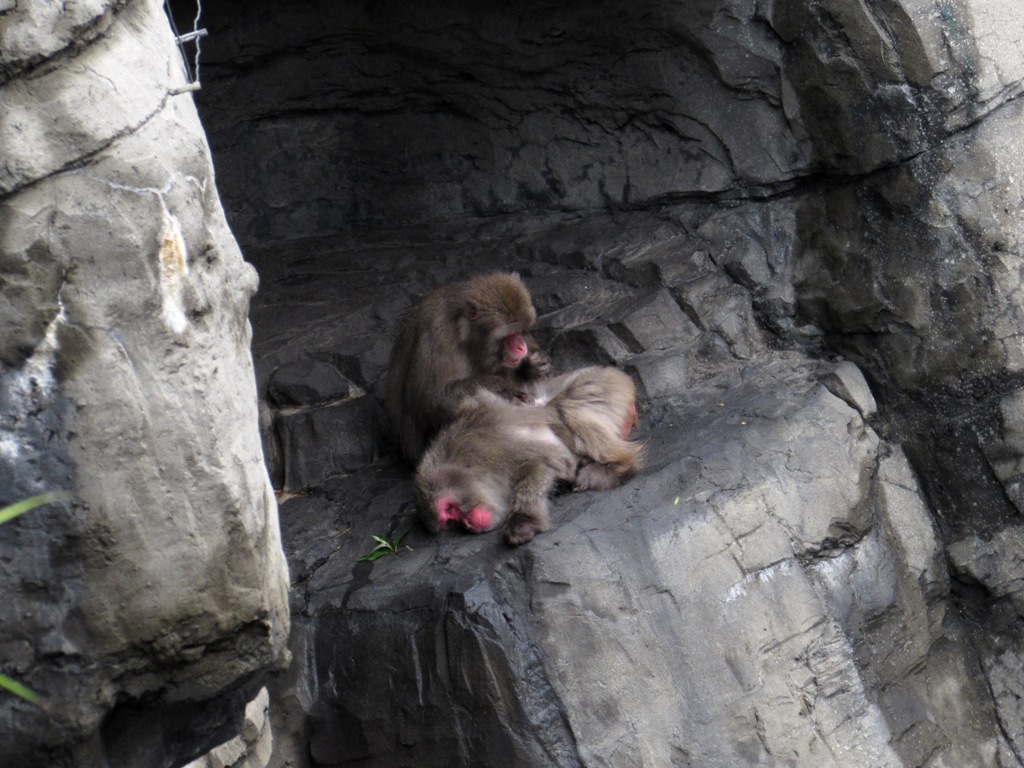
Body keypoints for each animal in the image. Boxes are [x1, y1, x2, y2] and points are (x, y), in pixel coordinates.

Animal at [386, 272, 551, 464]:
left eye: (522, 331)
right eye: (510, 335)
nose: (521, 347)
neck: (466, 337)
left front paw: (535, 363)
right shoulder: (438, 335)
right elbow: (430, 400)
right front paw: (502, 389)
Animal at [415, 366, 642, 546]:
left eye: (449, 510)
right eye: (451, 522)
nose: (468, 524)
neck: (471, 462)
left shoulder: (502, 453)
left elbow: (544, 465)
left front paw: (523, 521)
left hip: (605, 385)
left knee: (566, 408)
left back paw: (616, 469)